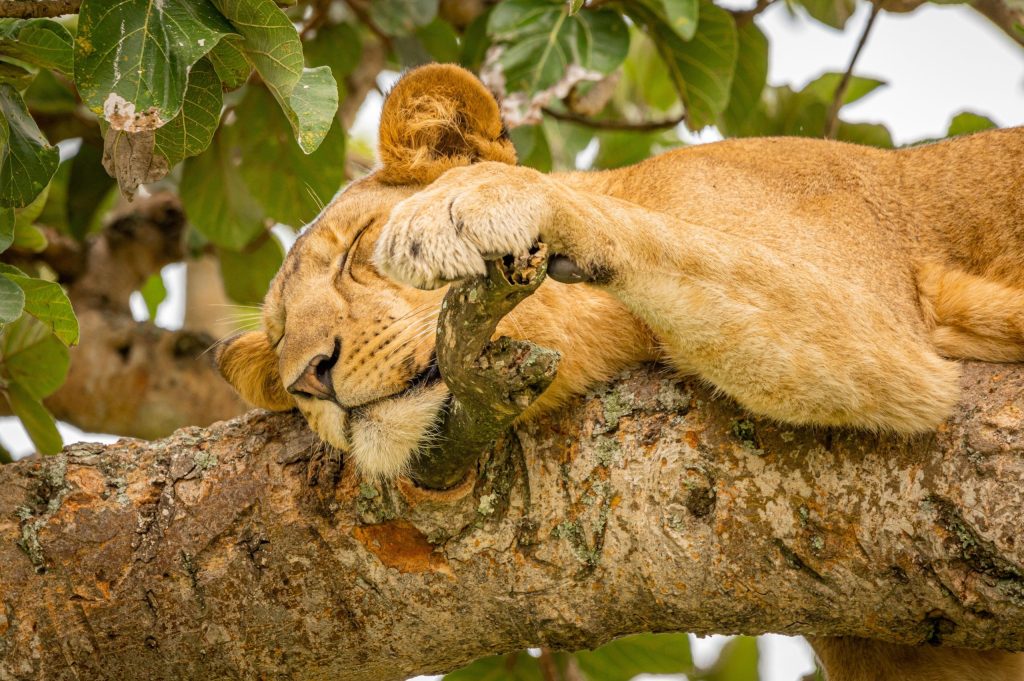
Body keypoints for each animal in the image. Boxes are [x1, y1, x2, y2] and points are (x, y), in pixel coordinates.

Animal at [216, 64, 1024, 680]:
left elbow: (660, 234)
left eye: (358, 251)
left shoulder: (894, 338)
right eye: (281, 340)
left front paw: (465, 207)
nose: (308, 378)